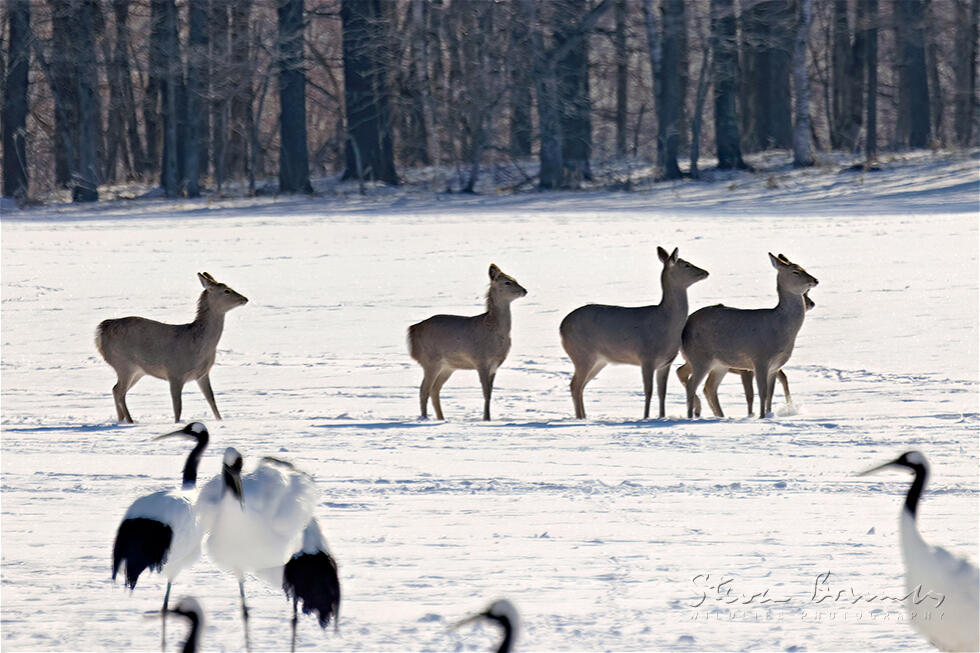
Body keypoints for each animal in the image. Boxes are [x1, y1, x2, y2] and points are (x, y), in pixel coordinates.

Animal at [96, 272, 248, 424]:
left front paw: (220, 420)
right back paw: (130, 421)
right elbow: (178, 407)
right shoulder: (175, 372)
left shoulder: (203, 373)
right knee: (119, 392)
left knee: (115, 389)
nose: (245, 298)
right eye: (226, 291)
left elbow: (211, 399)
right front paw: (177, 424)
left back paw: (121, 420)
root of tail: (100, 332)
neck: (199, 345)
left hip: (138, 370)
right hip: (124, 364)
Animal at [408, 264, 527, 421]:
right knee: (424, 389)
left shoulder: (495, 365)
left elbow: (490, 392)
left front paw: (487, 417)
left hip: (448, 366)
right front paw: (486, 418)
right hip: (430, 360)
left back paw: (442, 418)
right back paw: (425, 418)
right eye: (507, 282)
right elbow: (486, 392)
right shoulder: (480, 360)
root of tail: (412, 330)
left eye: (515, 279)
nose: (524, 290)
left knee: (435, 389)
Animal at [559, 246, 709, 420]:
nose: (706, 272)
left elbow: (662, 392)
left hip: (599, 360)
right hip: (582, 354)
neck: (666, 323)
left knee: (581, 386)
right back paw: (580, 418)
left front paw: (662, 416)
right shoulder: (646, 357)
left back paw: (584, 416)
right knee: (575, 385)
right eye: (686, 265)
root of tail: (561, 327)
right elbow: (648, 390)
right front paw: (646, 417)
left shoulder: (666, 362)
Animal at [681, 253, 818, 420]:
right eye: (795, 271)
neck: (780, 328)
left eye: (803, 268)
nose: (815, 280)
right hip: (699, 357)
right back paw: (690, 417)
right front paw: (761, 417)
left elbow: (770, 393)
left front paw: (769, 414)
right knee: (691, 385)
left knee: (709, 387)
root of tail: (685, 325)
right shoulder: (760, 358)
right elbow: (762, 392)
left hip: (720, 363)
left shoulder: (775, 366)